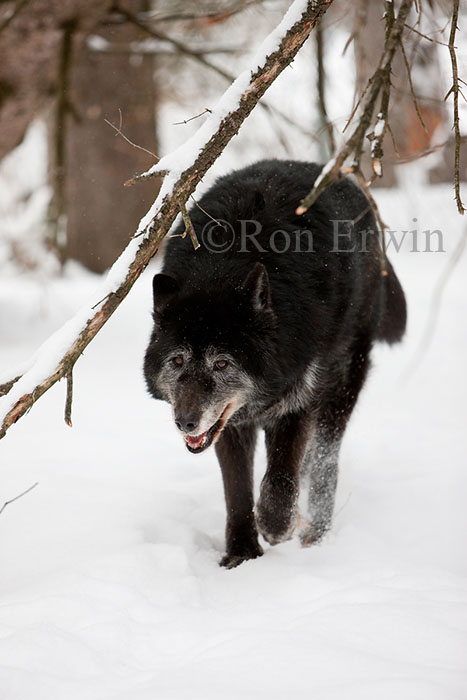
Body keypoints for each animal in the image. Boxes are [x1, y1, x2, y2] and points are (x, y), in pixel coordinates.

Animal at [144, 160, 406, 568]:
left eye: (222, 363)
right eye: (177, 360)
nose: (185, 421)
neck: (222, 266)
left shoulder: (298, 398)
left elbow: (281, 476)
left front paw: (277, 524)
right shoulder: (229, 422)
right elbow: (237, 490)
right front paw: (241, 554)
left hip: (343, 380)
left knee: (324, 460)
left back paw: (316, 535)